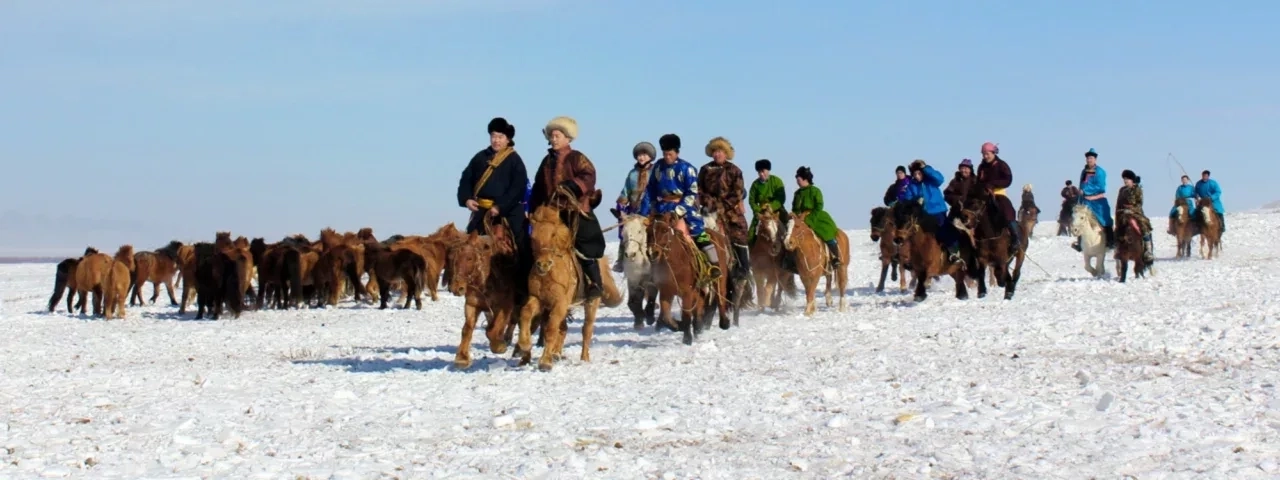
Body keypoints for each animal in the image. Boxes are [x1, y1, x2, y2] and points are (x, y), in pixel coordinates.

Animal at [449, 223, 520, 369]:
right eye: (452, 259)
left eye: (469, 258)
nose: (457, 288)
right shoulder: (473, 304)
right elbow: (467, 329)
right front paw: (462, 358)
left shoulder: (505, 305)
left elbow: (492, 329)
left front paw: (499, 346)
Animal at [516, 198, 623, 371]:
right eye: (532, 236)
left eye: (553, 234)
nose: (543, 264)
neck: (549, 275)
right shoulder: (538, 299)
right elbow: (526, 313)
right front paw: (524, 345)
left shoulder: (560, 303)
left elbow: (551, 329)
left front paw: (545, 362)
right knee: (564, 328)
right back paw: (556, 353)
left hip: (591, 303)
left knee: (586, 329)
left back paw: (583, 357)